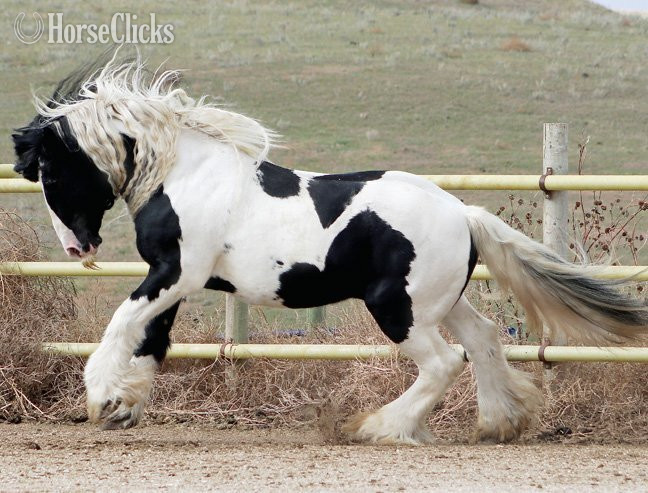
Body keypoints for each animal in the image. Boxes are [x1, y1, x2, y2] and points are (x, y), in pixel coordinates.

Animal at [12, 53, 648, 443]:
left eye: (50, 169)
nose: (77, 246)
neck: (185, 174)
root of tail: (463, 214)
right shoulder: (174, 280)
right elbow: (151, 341)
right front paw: (123, 407)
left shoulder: (176, 274)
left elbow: (123, 324)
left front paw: (100, 398)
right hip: (440, 302)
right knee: (485, 341)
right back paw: (498, 424)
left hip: (398, 308)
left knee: (443, 363)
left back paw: (379, 428)